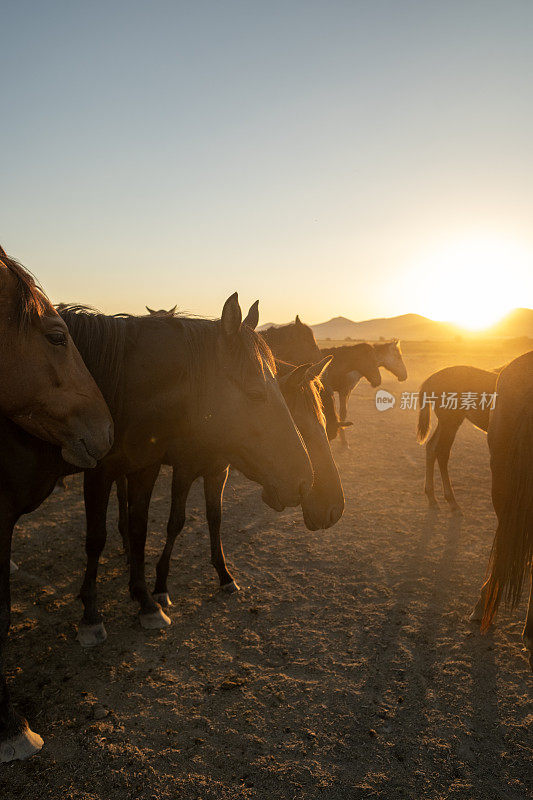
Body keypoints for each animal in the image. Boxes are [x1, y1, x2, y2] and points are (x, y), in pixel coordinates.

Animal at [0, 292, 312, 764]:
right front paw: (91, 615)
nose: (303, 478)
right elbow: (96, 540)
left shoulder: (143, 467)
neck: (119, 384)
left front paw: (146, 601)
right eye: (257, 393)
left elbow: (140, 529)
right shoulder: (99, 472)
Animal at [416, 366, 498, 510]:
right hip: (451, 422)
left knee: (431, 447)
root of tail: (431, 379)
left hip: (445, 423)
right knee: (442, 453)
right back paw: (451, 499)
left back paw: (431, 495)